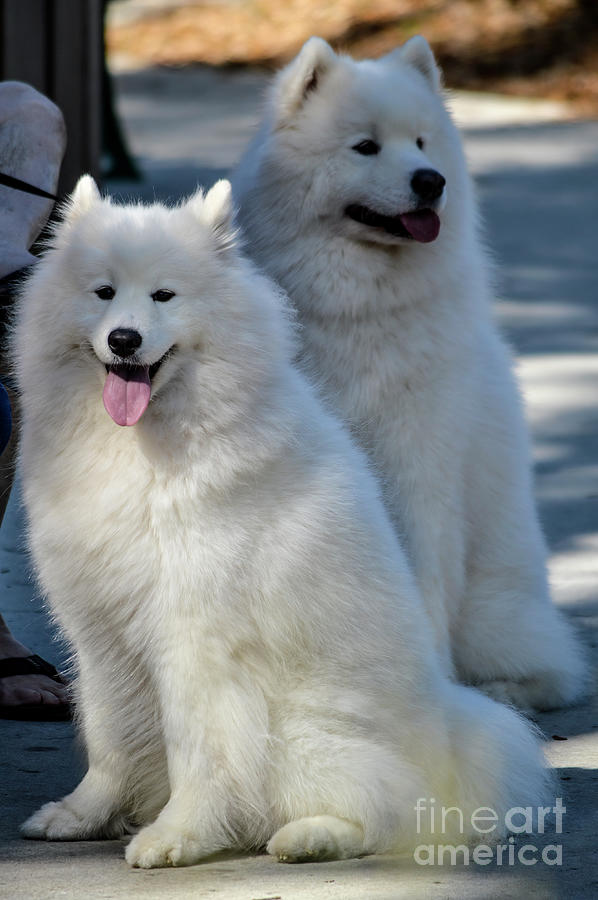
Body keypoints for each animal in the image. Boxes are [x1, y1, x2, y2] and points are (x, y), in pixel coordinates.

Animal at [15, 174, 548, 864]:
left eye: (164, 295)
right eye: (102, 293)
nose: (124, 339)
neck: (139, 447)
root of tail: (450, 731)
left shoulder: (197, 640)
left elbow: (198, 749)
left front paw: (178, 834)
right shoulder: (101, 631)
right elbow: (110, 735)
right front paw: (84, 815)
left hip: (304, 733)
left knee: (389, 808)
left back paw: (308, 837)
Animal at [232, 35, 588, 712]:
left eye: (423, 143)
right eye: (365, 146)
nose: (432, 181)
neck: (361, 309)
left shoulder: (419, 463)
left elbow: (424, 578)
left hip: (500, 607)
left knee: (550, 673)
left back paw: (499, 691)